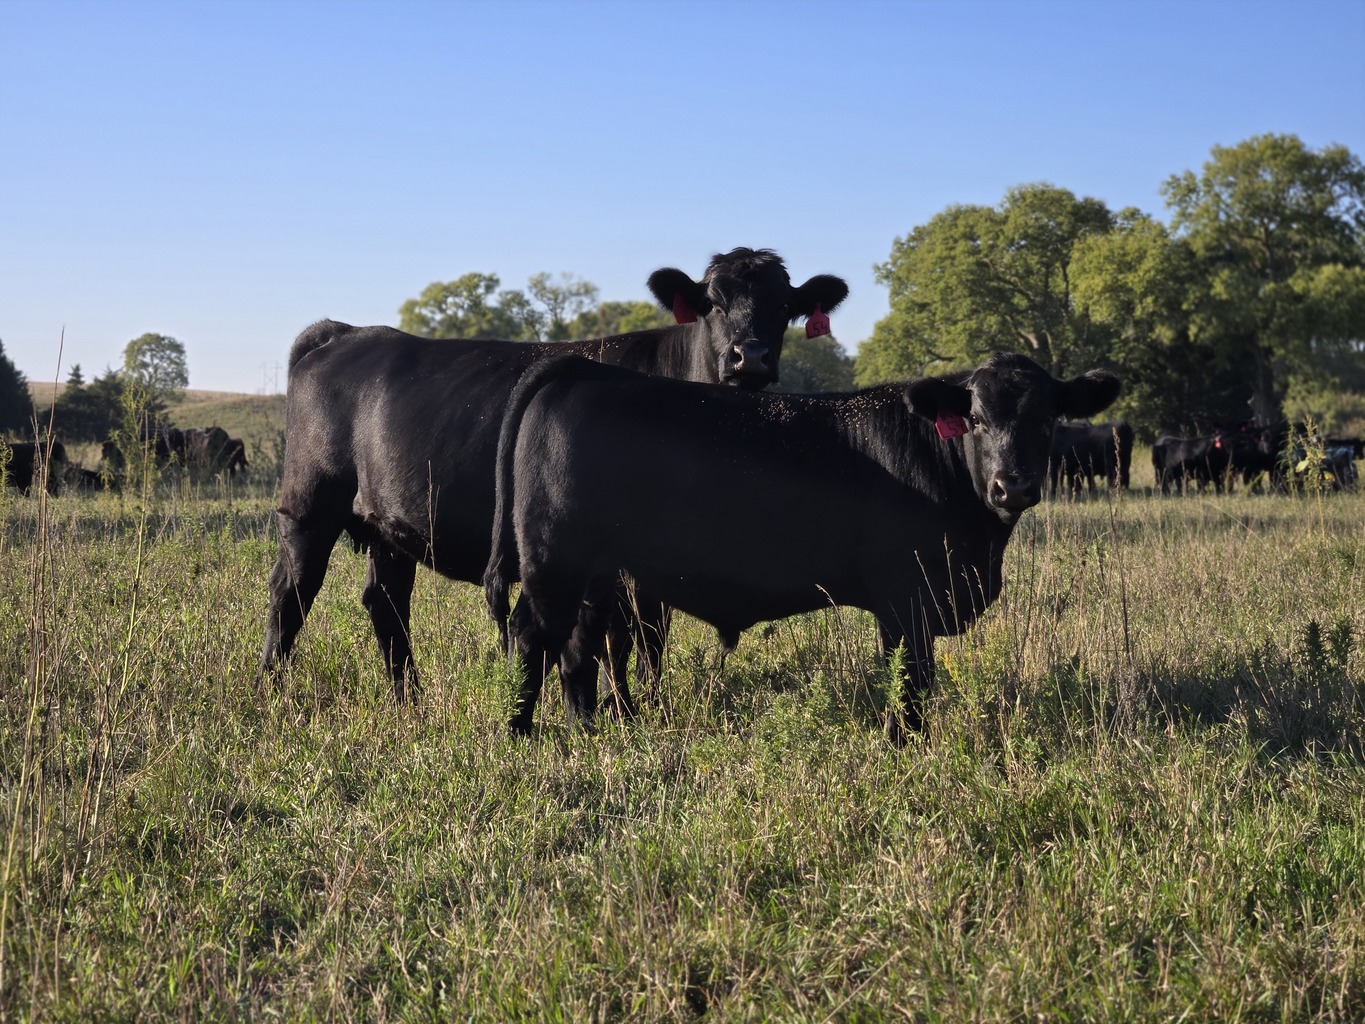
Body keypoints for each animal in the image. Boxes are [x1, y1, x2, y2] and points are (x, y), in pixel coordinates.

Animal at [258, 248, 850, 700]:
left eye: (784, 306)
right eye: (714, 302)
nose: (750, 356)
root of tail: (346, 332)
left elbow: (653, 630)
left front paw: (649, 702)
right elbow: (623, 633)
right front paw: (623, 707)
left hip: (390, 522)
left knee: (386, 602)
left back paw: (411, 699)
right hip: (310, 505)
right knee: (291, 592)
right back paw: (272, 692)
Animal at [484, 352, 1120, 742]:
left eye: (1047, 419)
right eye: (977, 419)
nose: (1013, 486)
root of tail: (582, 368)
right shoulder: (906, 602)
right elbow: (909, 682)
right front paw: (904, 747)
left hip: (598, 572)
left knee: (577, 648)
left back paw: (590, 729)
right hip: (554, 562)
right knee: (531, 636)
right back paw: (519, 735)